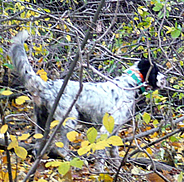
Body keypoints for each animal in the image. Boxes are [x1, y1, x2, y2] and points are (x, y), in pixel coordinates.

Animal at [8, 30, 167, 162]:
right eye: (156, 71)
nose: (165, 80)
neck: (128, 84)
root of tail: (46, 86)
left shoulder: (114, 130)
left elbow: (114, 151)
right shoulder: (105, 129)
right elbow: (102, 154)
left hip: (41, 121)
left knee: (38, 146)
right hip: (69, 119)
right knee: (62, 149)